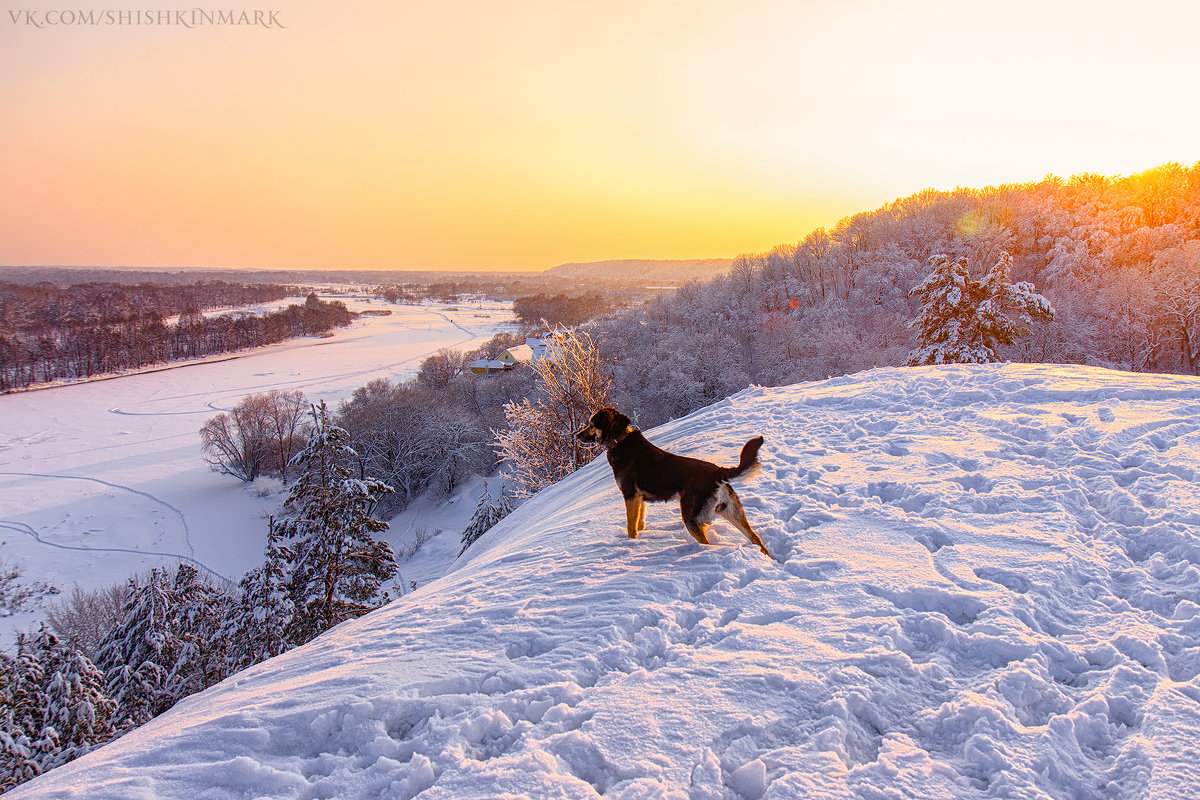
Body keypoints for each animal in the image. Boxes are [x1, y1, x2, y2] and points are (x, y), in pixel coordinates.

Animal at [576, 407, 772, 556]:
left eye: (592, 425)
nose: (577, 435)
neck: (620, 440)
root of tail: (718, 472)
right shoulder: (639, 498)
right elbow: (639, 521)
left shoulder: (630, 495)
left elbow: (631, 527)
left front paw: (630, 544)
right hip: (732, 511)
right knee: (755, 538)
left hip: (691, 516)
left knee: (707, 543)